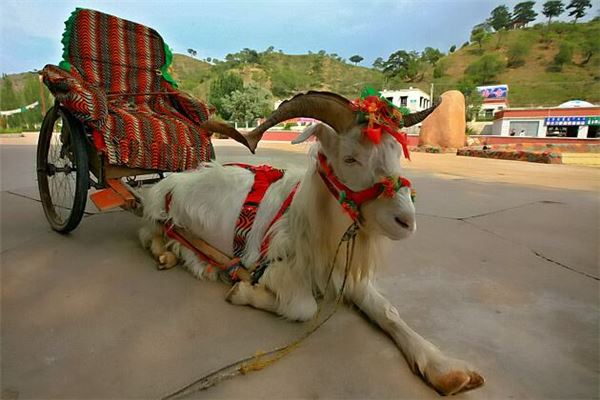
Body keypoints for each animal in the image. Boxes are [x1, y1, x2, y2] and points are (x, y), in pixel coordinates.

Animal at [139, 92, 482, 396]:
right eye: (350, 158)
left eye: (398, 154)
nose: (406, 221)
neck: (306, 219)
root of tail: (173, 180)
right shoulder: (270, 267)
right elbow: (305, 307)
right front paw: (242, 292)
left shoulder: (344, 274)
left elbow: (388, 311)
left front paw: (447, 370)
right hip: (162, 217)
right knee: (149, 235)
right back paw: (170, 254)